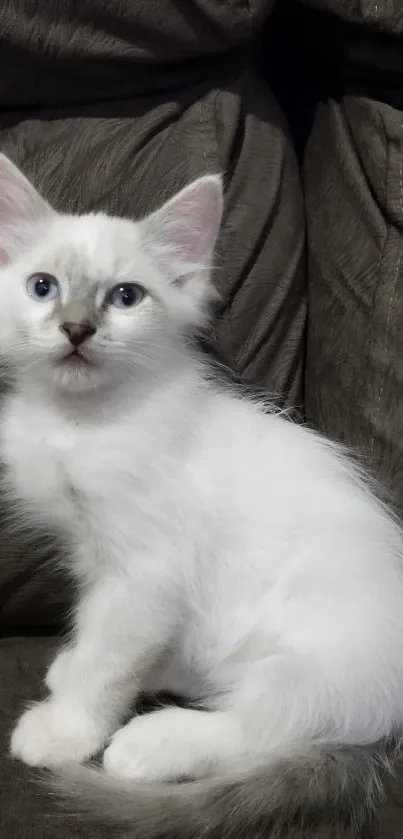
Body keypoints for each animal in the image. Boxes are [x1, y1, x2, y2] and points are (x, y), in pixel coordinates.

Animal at [0, 153, 402, 839]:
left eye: (126, 296)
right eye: (42, 287)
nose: (77, 329)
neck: (81, 424)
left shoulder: (146, 570)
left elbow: (111, 656)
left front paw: (67, 730)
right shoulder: (94, 553)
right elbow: (99, 631)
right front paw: (72, 667)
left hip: (304, 663)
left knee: (263, 726)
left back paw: (152, 744)